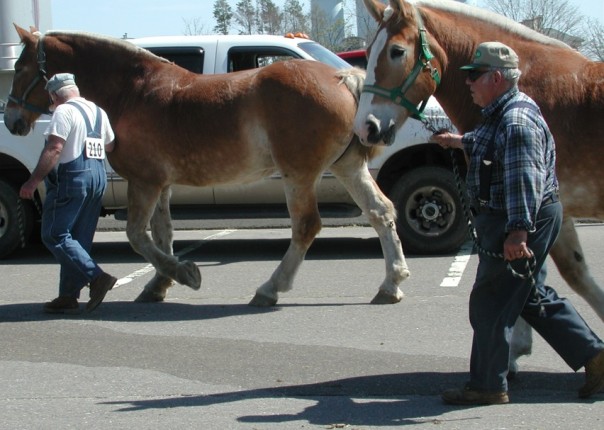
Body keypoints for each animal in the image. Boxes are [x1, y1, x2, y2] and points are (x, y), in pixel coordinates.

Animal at [4, 26, 410, 306]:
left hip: (299, 175)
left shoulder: (144, 182)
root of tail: (344, 78)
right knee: (381, 212)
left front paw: (184, 274)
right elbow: (162, 235)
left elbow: (138, 236)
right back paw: (391, 284)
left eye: (21, 67)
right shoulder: (161, 184)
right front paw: (158, 284)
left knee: (307, 226)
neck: (132, 92)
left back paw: (270, 289)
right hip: (347, 169)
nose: (12, 121)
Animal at [354, 0, 604, 372]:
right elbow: (552, 276)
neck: (526, 89)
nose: (365, 127)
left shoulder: (533, 204)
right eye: (369, 52)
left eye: (397, 51)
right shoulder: (546, 210)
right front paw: (516, 350)